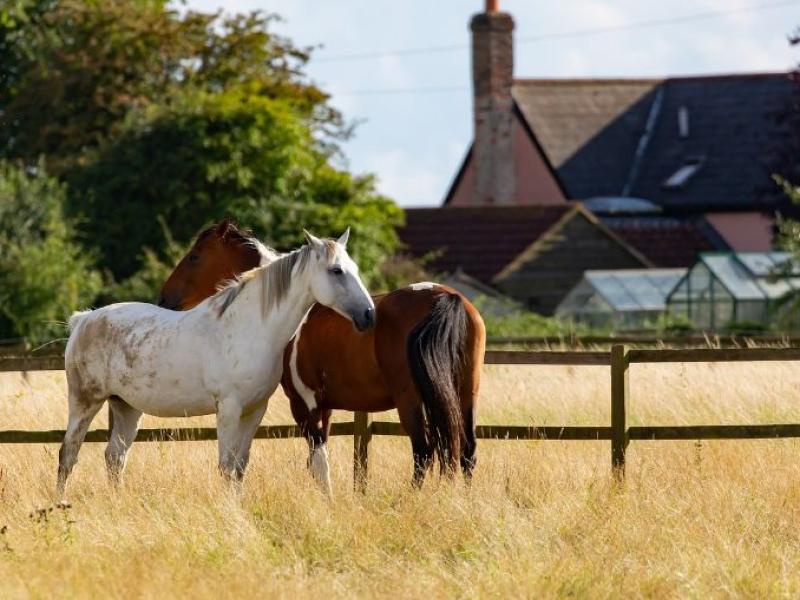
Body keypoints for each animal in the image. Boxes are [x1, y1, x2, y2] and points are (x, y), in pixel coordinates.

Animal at [56, 230, 376, 492]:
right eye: (336, 270)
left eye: (354, 269)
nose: (369, 314)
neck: (250, 327)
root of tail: (84, 320)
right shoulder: (229, 410)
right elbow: (225, 466)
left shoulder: (254, 411)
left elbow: (240, 467)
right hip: (85, 402)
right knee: (68, 453)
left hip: (126, 408)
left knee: (114, 456)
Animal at [159, 220, 484, 492]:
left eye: (194, 257)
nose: (165, 299)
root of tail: (446, 297)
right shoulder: (324, 406)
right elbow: (317, 462)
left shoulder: (304, 404)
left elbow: (318, 462)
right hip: (466, 394)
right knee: (466, 451)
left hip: (411, 400)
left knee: (423, 452)